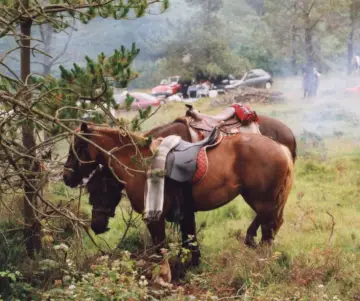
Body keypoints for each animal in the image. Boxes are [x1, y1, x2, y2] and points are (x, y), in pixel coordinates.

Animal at [63, 123, 294, 264]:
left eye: (77, 147)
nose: (67, 177)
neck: (140, 162)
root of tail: (281, 148)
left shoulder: (155, 218)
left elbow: (160, 250)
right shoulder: (185, 213)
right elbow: (189, 241)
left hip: (261, 200)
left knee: (267, 225)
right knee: (271, 225)